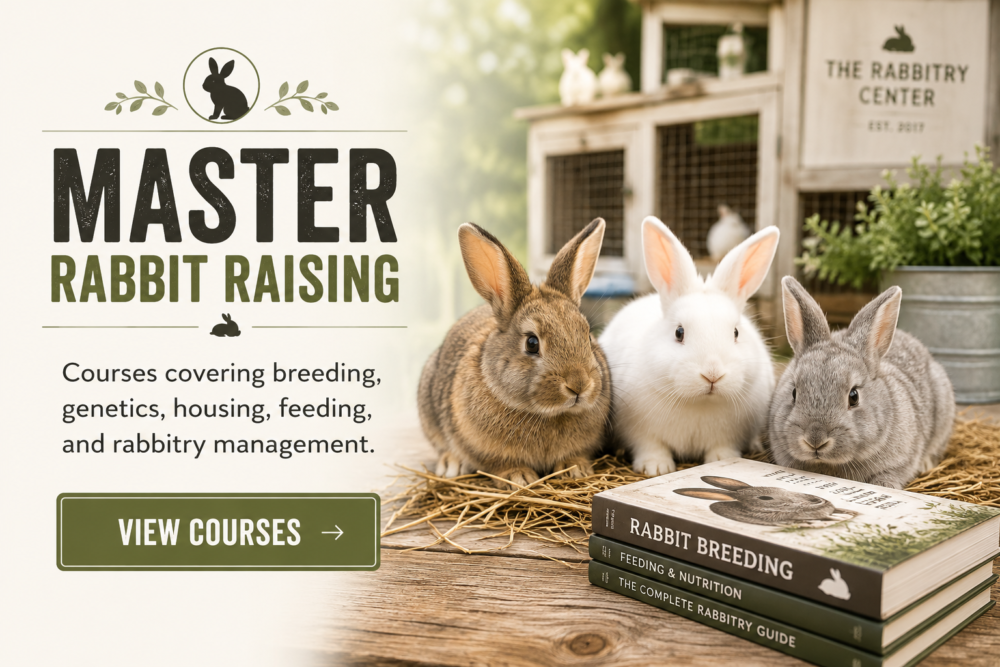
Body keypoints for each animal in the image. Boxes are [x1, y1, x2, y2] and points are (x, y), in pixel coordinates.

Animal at [417, 219, 612, 489]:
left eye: (587, 334)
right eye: (532, 343)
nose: (579, 385)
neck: (549, 414)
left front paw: (575, 469)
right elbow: (499, 464)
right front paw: (518, 477)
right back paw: (451, 464)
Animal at [600, 217, 779, 476]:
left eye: (736, 332)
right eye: (679, 332)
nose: (712, 374)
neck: (700, 402)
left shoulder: (728, 436)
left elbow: (721, 448)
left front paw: (722, 459)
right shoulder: (641, 434)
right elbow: (652, 447)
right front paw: (656, 467)